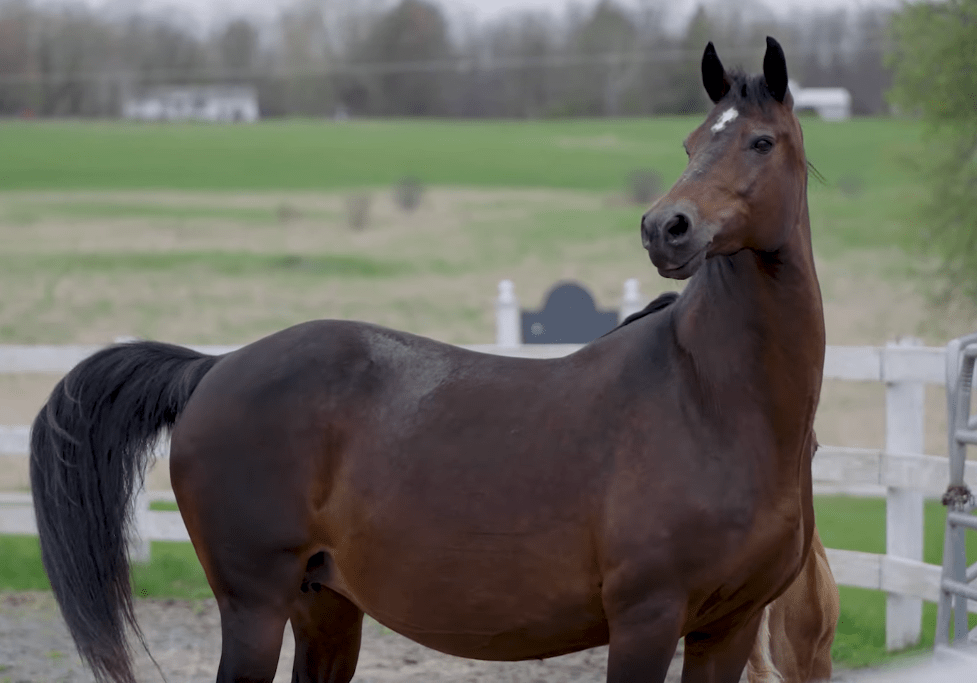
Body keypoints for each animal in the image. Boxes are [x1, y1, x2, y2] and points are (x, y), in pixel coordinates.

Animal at [30, 38, 824, 683]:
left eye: (760, 141)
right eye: (691, 143)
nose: (666, 229)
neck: (707, 400)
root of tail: (213, 368)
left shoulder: (726, 628)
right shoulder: (646, 621)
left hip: (324, 607)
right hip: (255, 605)